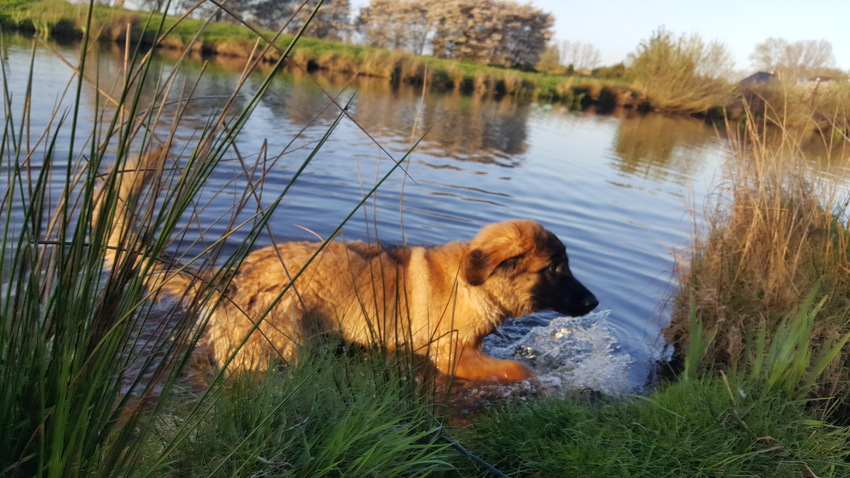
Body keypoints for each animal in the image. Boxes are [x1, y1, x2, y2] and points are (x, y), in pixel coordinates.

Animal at [102, 150, 598, 382]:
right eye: (555, 269)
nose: (595, 302)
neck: (472, 284)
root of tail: (232, 276)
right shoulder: (454, 356)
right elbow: (519, 371)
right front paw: (544, 383)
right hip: (275, 349)